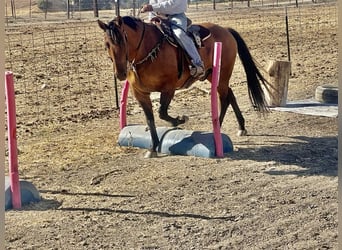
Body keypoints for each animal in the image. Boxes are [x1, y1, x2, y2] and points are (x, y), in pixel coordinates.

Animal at [97, 15, 270, 157]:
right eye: (106, 44)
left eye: (123, 39)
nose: (120, 73)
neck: (148, 50)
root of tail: (225, 30)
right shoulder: (140, 93)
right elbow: (150, 118)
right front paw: (153, 147)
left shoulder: (168, 88)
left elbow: (162, 113)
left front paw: (179, 120)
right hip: (214, 76)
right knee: (230, 94)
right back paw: (241, 126)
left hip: (221, 76)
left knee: (224, 98)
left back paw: (217, 130)